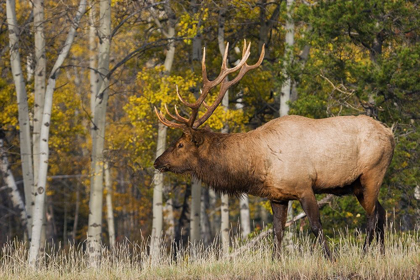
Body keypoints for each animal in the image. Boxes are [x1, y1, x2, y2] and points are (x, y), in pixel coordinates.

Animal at [153, 41, 394, 258]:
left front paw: (331, 258)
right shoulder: (277, 195)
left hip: (372, 173)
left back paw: (364, 254)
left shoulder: (304, 186)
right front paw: (276, 260)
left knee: (372, 216)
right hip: (357, 185)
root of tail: (390, 134)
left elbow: (315, 225)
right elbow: (277, 230)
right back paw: (382, 255)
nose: (157, 161)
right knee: (381, 213)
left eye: (180, 144)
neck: (260, 163)